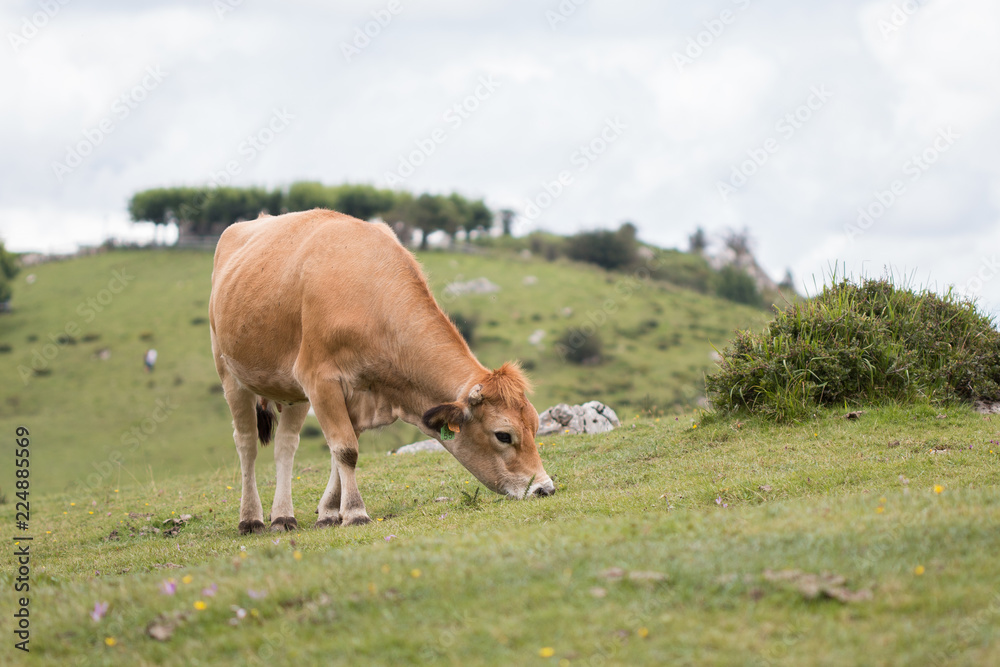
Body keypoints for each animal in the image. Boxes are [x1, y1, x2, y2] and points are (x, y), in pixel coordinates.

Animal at [209, 209, 555, 534]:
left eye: (536, 425)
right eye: (503, 435)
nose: (544, 488)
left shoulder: (355, 394)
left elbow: (340, 452)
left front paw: (330, 512)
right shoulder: (320, 380)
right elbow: (345, 449)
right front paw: (355, 513)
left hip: (292, 392)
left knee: (286, 444)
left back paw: (283, 516)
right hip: (230, 374)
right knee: (246, 443)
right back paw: (250, 519)